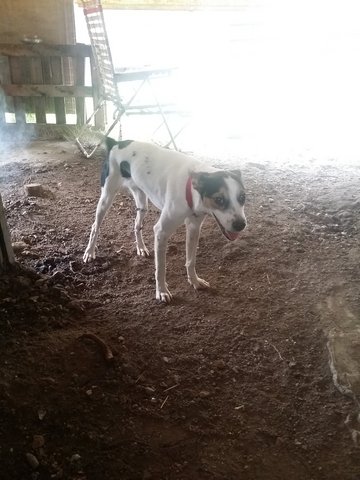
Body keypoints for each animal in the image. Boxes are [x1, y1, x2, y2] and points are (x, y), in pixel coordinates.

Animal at [83, 138, 248, 304]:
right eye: (219, 199)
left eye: (242, 197)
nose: (241, 225)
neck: (190, 189)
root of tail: (116, 142)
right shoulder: (161, 232)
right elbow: (161, 268)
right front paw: (161, 291)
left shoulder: (194, 227)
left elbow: (191, 260)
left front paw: (194, 281)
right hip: (106, 198)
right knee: (95, 226)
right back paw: (89, 252)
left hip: (142, 203)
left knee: (137, 225)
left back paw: (141, 248)